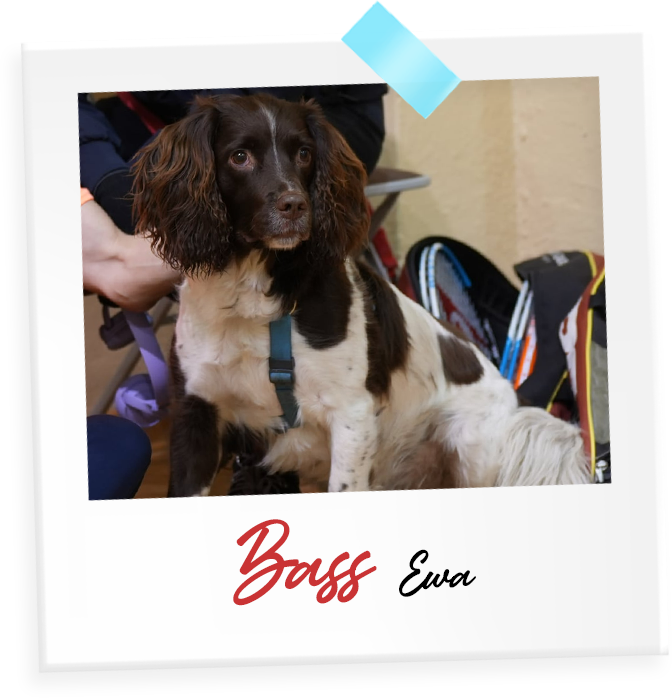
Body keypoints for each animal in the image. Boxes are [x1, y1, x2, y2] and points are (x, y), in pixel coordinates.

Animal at [131, 93, 592, 497]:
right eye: (239, 156)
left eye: (304, 153)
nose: (295, 205)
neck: (258, 296)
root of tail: (516, 402)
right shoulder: (196, 413)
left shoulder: (351, 417)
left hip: (468, 445)